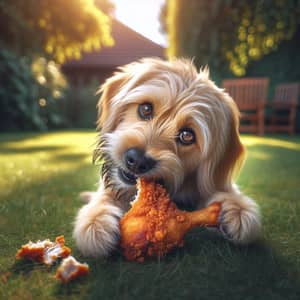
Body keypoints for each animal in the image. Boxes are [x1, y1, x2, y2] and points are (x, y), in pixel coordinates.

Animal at [74, 58, 262, 258]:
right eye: (145, 108)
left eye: (187, 135)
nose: (137, 160)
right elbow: (102, 199)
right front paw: (96, 222)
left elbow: (227, 193)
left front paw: (237, 209)